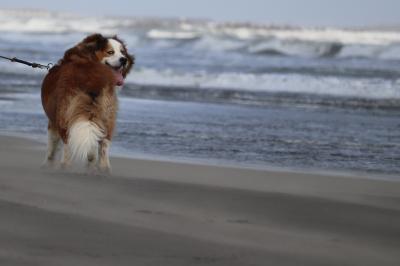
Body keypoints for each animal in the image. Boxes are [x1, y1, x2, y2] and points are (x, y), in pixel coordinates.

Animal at [41, 33, 134, 172]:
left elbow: (52, 146)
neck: (87, 58)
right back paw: (102, 169)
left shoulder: (53, 121)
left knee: (67, 141)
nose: (124, 59)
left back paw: (65, 166)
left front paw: (48, 164)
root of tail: (92, 76)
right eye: (110, 52)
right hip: (107, 114)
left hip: (65, 112)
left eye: (122, 52)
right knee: (104, 143)